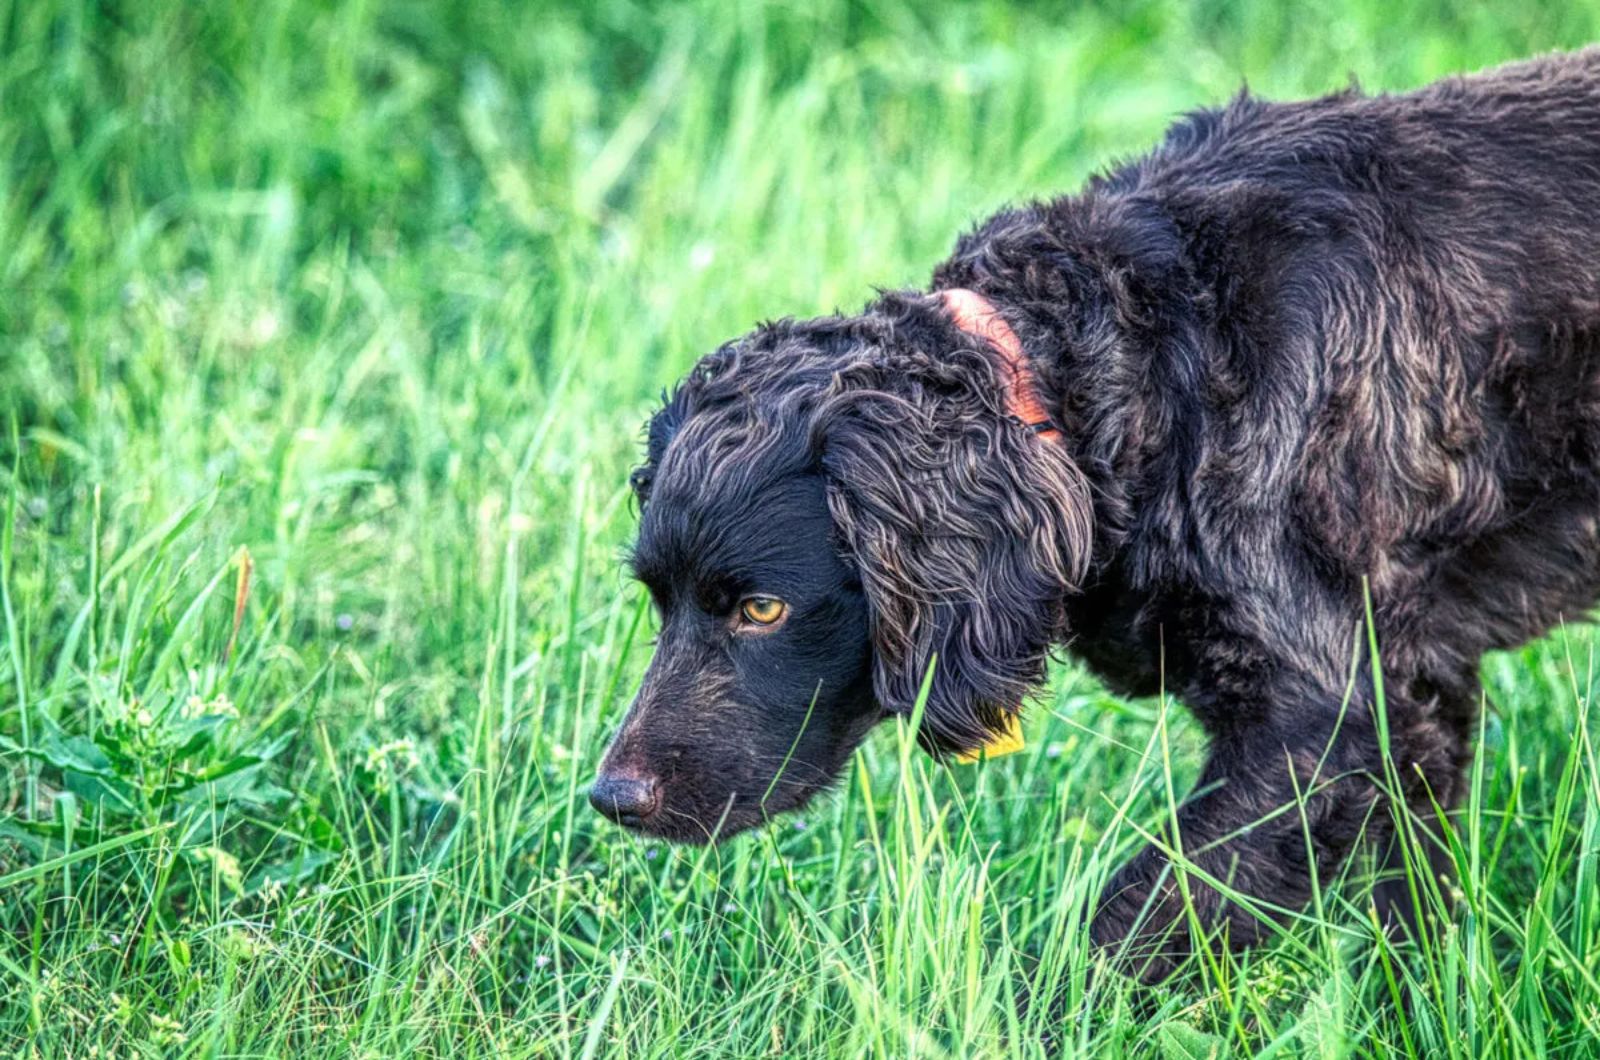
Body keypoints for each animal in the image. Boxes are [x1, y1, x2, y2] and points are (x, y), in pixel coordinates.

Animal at [588, 47, 1600, 979]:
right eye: (657, 602)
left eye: (762, 609)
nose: (610, 798)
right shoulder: (1419, 692)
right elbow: (1410, 907)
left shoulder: (1330, 718)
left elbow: (1136, 918)